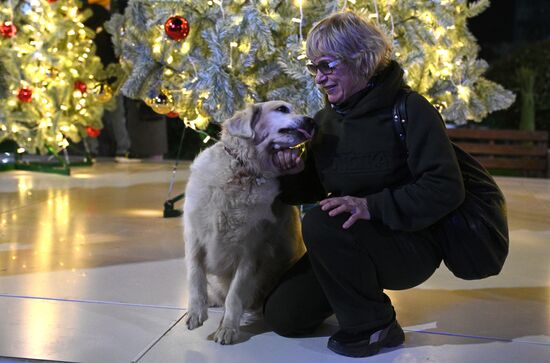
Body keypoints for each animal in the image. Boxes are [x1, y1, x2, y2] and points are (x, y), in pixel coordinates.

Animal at [184, 101, 316, 346]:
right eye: (282, 109)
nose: (312, 121)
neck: (242, 170)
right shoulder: (194, 238)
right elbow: (195, 277)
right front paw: (196, 312)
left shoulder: (250, 252)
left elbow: (234, 296)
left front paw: (227, 328)